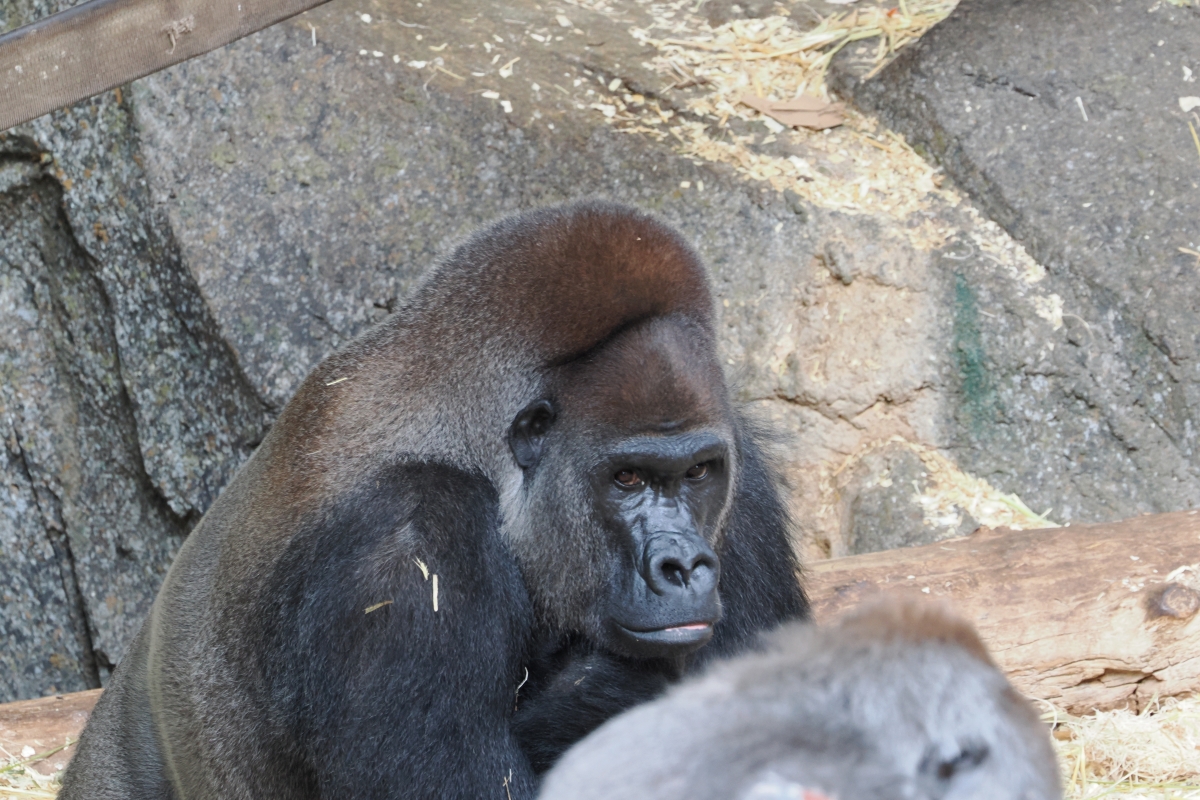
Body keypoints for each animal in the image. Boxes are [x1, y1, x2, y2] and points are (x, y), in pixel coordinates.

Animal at [58, 200, 809, 800]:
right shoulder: (409, 546)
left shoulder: (734, 461)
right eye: (626, 479)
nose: (682, 567)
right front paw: (608, 691)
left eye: (697, 474)